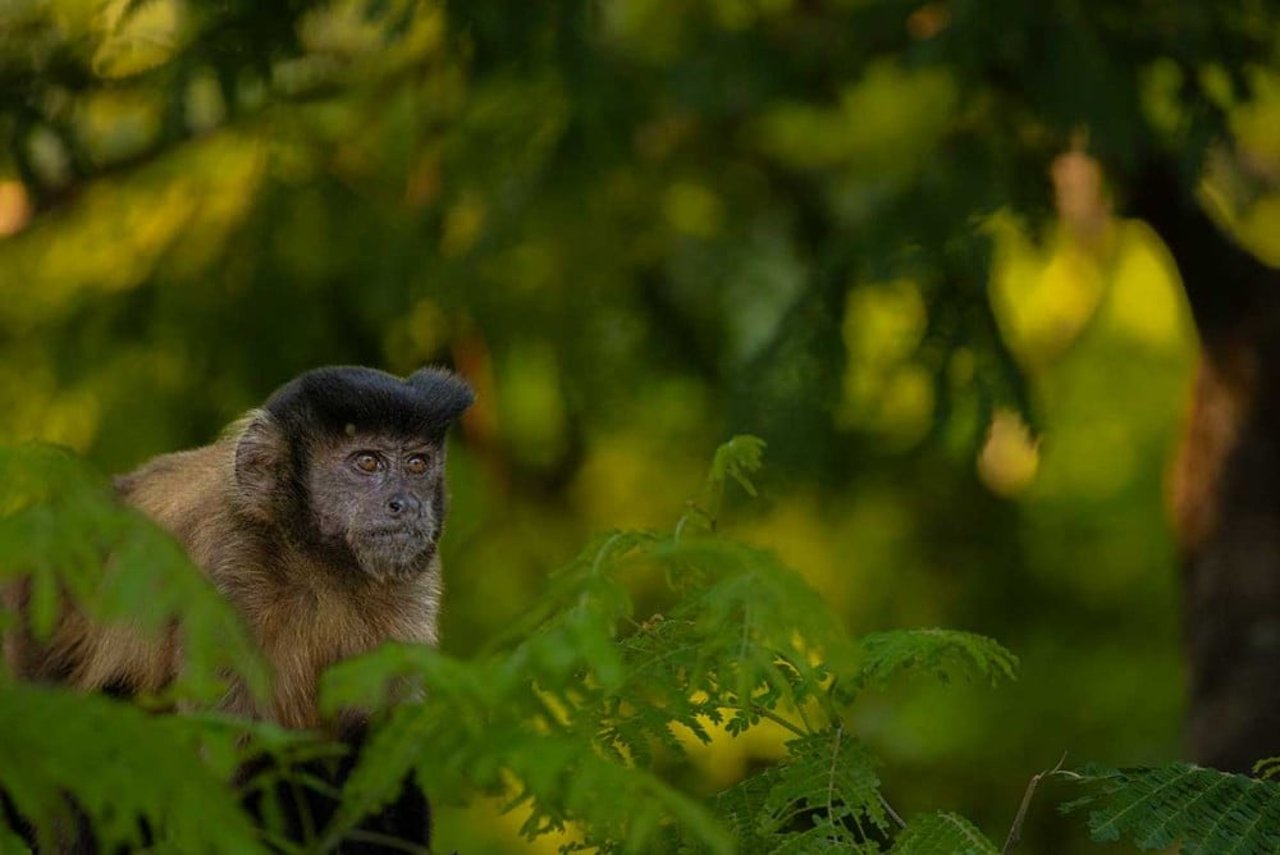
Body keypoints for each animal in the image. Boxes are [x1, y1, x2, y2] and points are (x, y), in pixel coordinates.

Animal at [5, 363, 476, 849]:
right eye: (367, 462)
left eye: (417, 464)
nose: (408, 504)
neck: (316, 564)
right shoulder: (229, 571)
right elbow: (238, 764)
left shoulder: (412, 588)